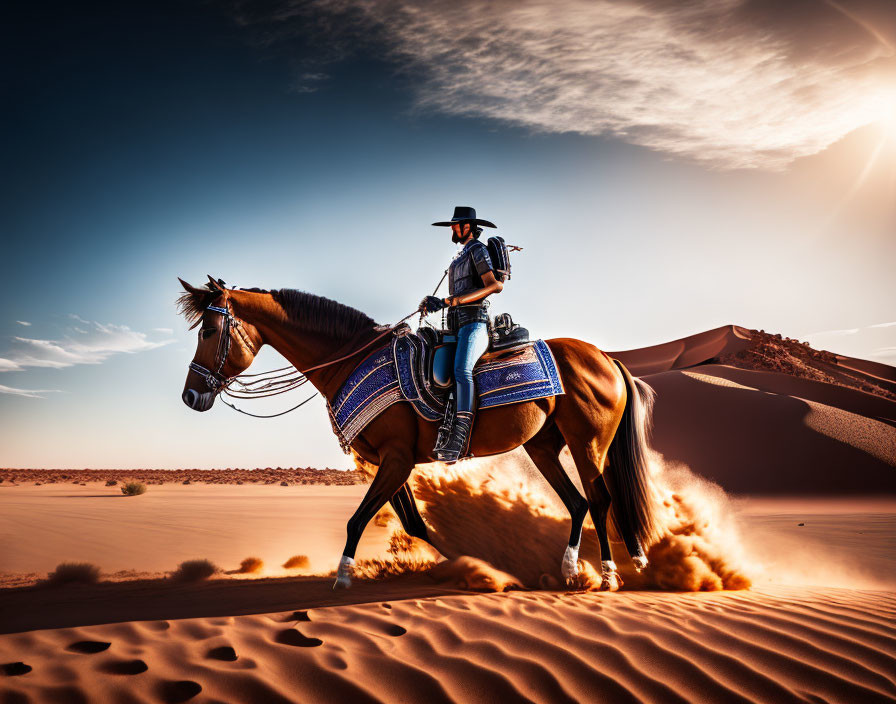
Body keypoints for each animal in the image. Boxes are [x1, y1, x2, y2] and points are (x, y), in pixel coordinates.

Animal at [178, 278, 660, 592]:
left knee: (599, 499)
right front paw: (477, 563)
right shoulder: (393, 462)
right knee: (578, 503)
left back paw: (611, 573)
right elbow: (414, 524)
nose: (190, 395)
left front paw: (343, 575)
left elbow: (359, 519)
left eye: (209, 330)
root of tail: (606, 358)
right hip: (544, 446)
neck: (349, 360)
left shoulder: (396, 459)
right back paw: (577, 569)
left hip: (587, 444)